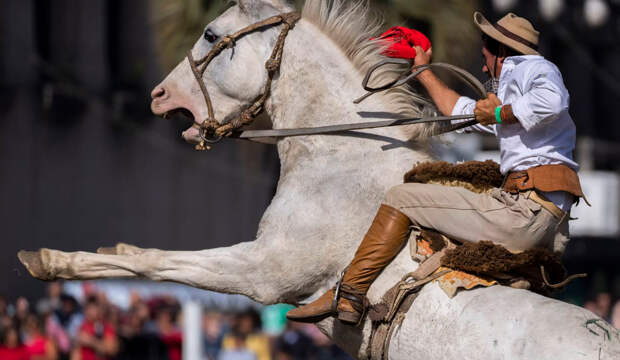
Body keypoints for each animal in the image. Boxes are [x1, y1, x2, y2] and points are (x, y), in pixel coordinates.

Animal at [18, 1, 620, 358]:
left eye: (211, 33)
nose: (160, 95)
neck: (338, 159)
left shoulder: (264, 273)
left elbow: (158, 262)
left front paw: (51, 261)